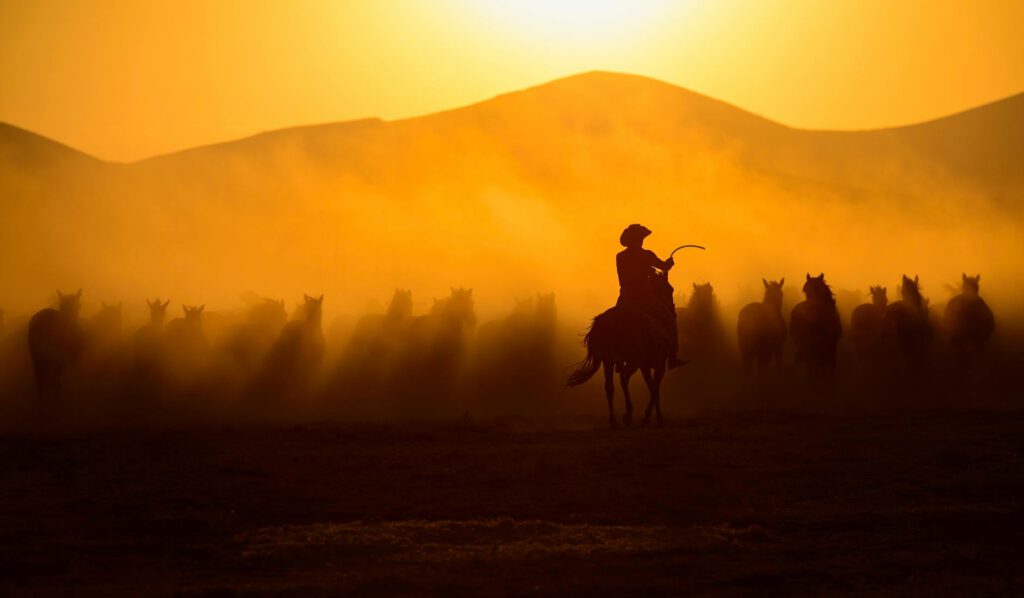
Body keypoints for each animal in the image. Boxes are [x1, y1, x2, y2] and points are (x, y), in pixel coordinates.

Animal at [565, 268, 675, 428]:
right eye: (670, 289)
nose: (673, 311)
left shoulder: (646, 366)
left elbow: (651, 387)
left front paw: (649, 417)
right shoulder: (658, 365)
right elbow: (655, 389)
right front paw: (657, 418)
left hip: (609, 360)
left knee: (609, 386)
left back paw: (614, 421)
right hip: (632, 360)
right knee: (623, 378)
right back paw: (627, 414)